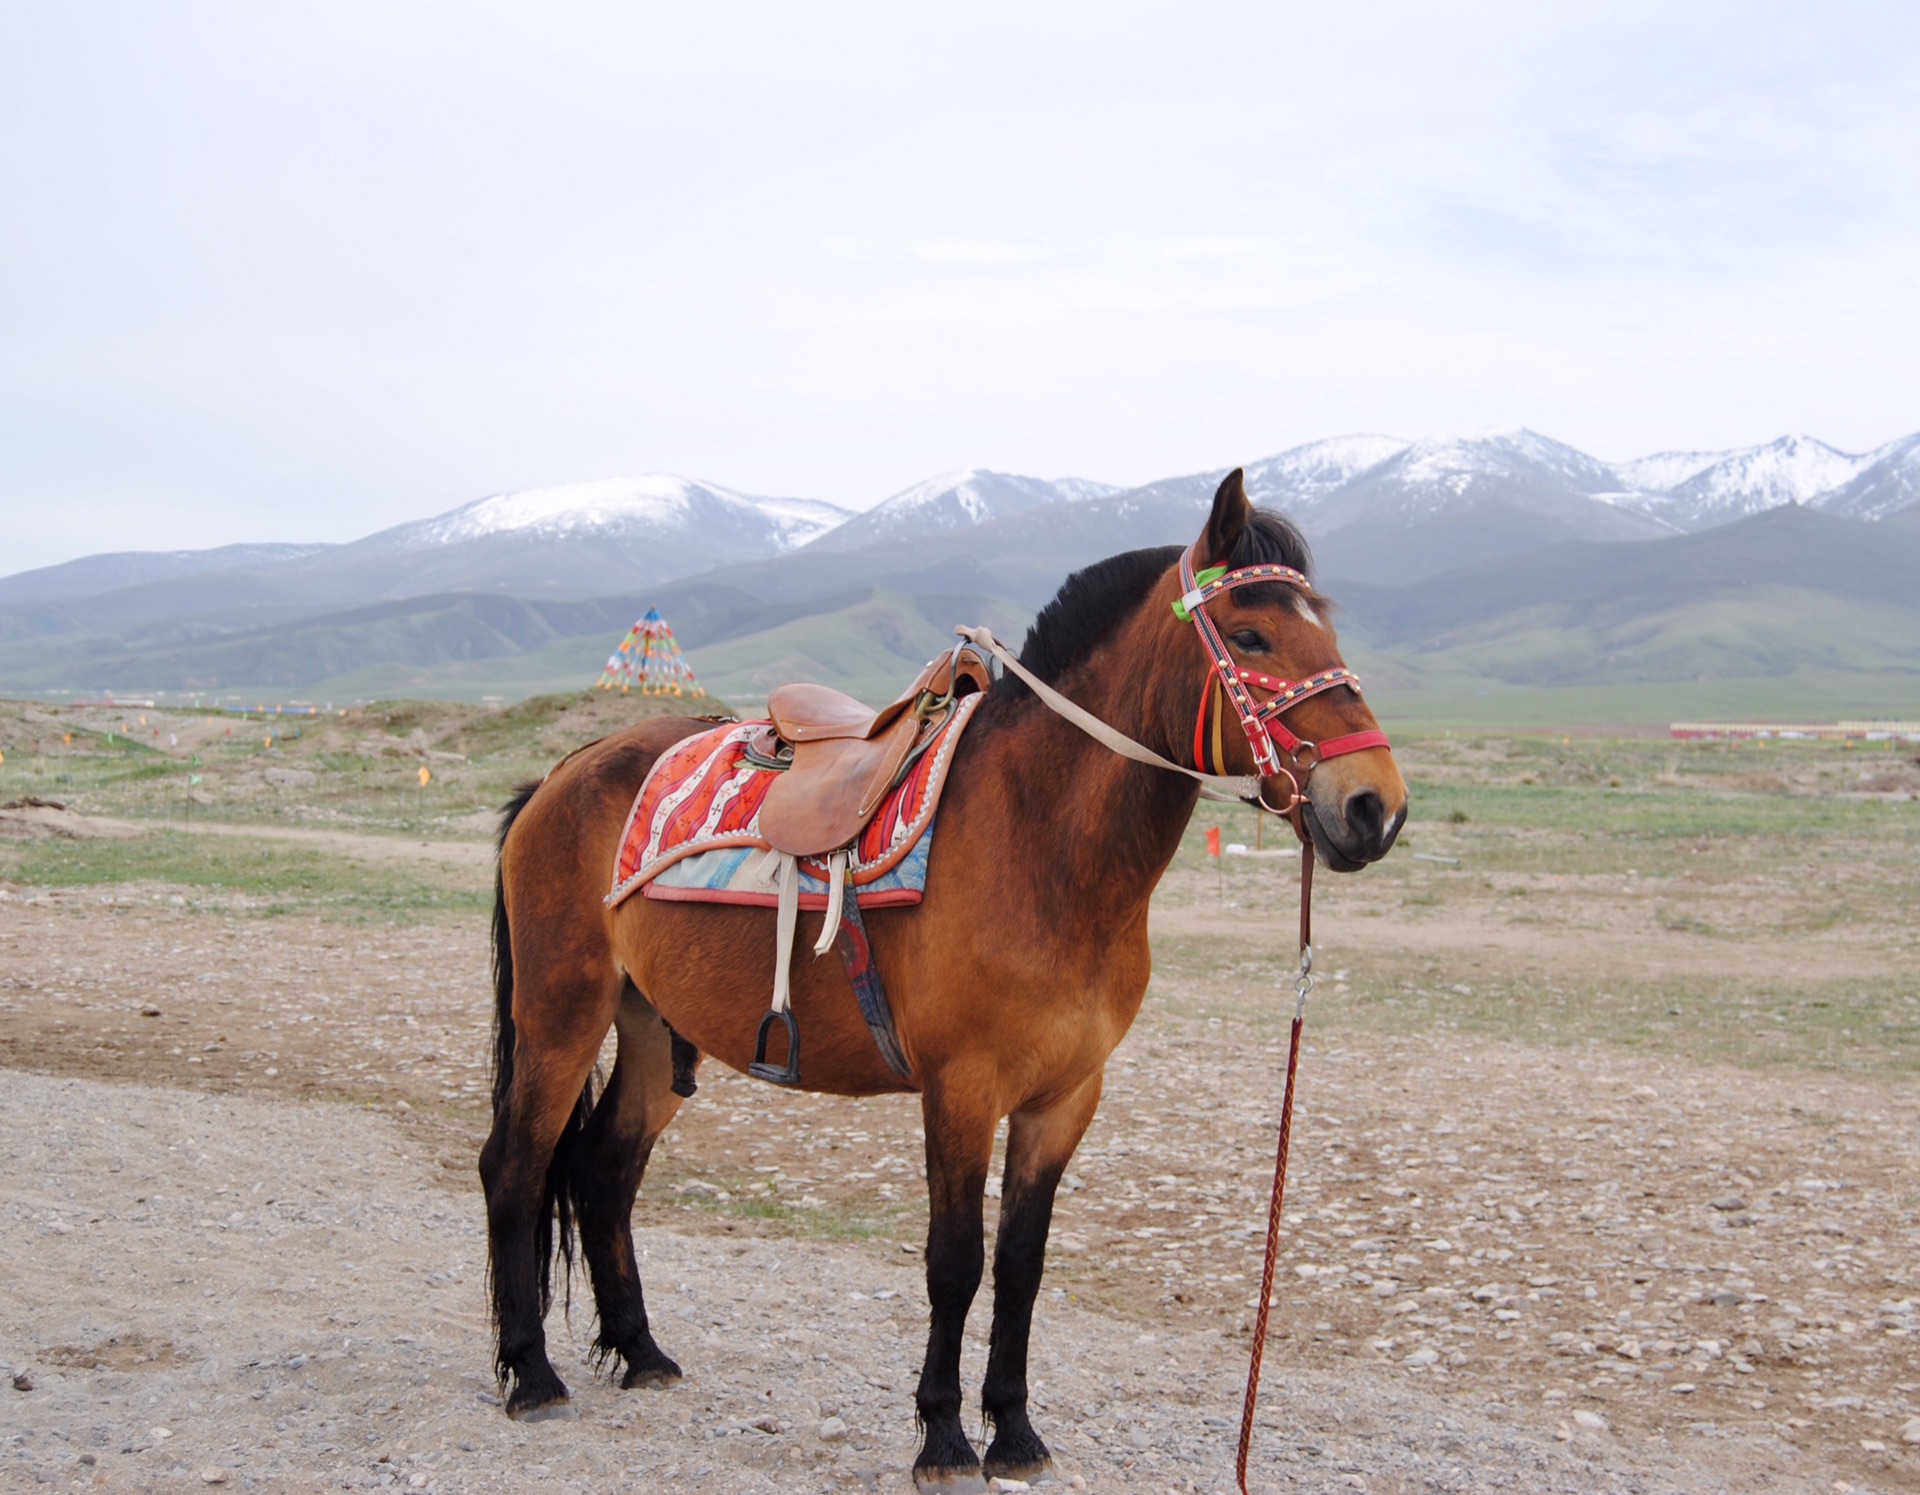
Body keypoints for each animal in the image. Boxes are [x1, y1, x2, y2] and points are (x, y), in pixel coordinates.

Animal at [480, 474, 1413, 1489]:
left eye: (1326, 629)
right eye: (1250, 636)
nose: (1375, 807)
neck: (1041, 844)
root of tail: (564, 772)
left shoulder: (1064, 1095)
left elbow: (1022, 1263)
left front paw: (1015, 1429)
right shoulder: (961, 1090)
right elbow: (955, 1260)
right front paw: (944, 1435)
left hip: (651, 1024)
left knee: (605, 1169)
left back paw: (641, 1351)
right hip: (560, 1013)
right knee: (516, 1163)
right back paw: (530, 1373)